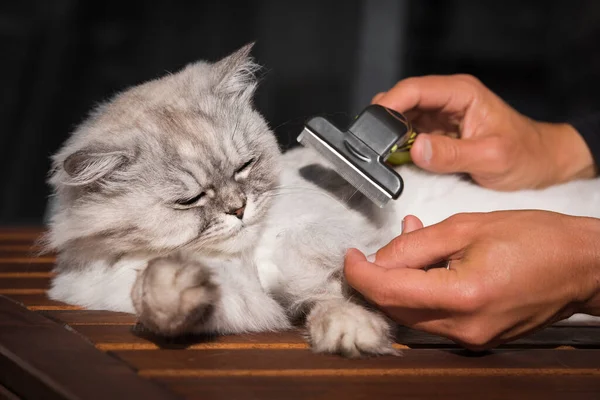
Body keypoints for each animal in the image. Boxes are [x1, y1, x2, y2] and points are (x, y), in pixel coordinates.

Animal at [45, 43, 600, 356]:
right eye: (190, 200)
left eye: (244, 167)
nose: (239, 209)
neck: (246, 257)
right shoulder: (245, 298)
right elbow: (169, 299)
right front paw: (174, 290)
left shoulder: (320, 250)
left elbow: (330, 295)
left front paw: (354, 335)